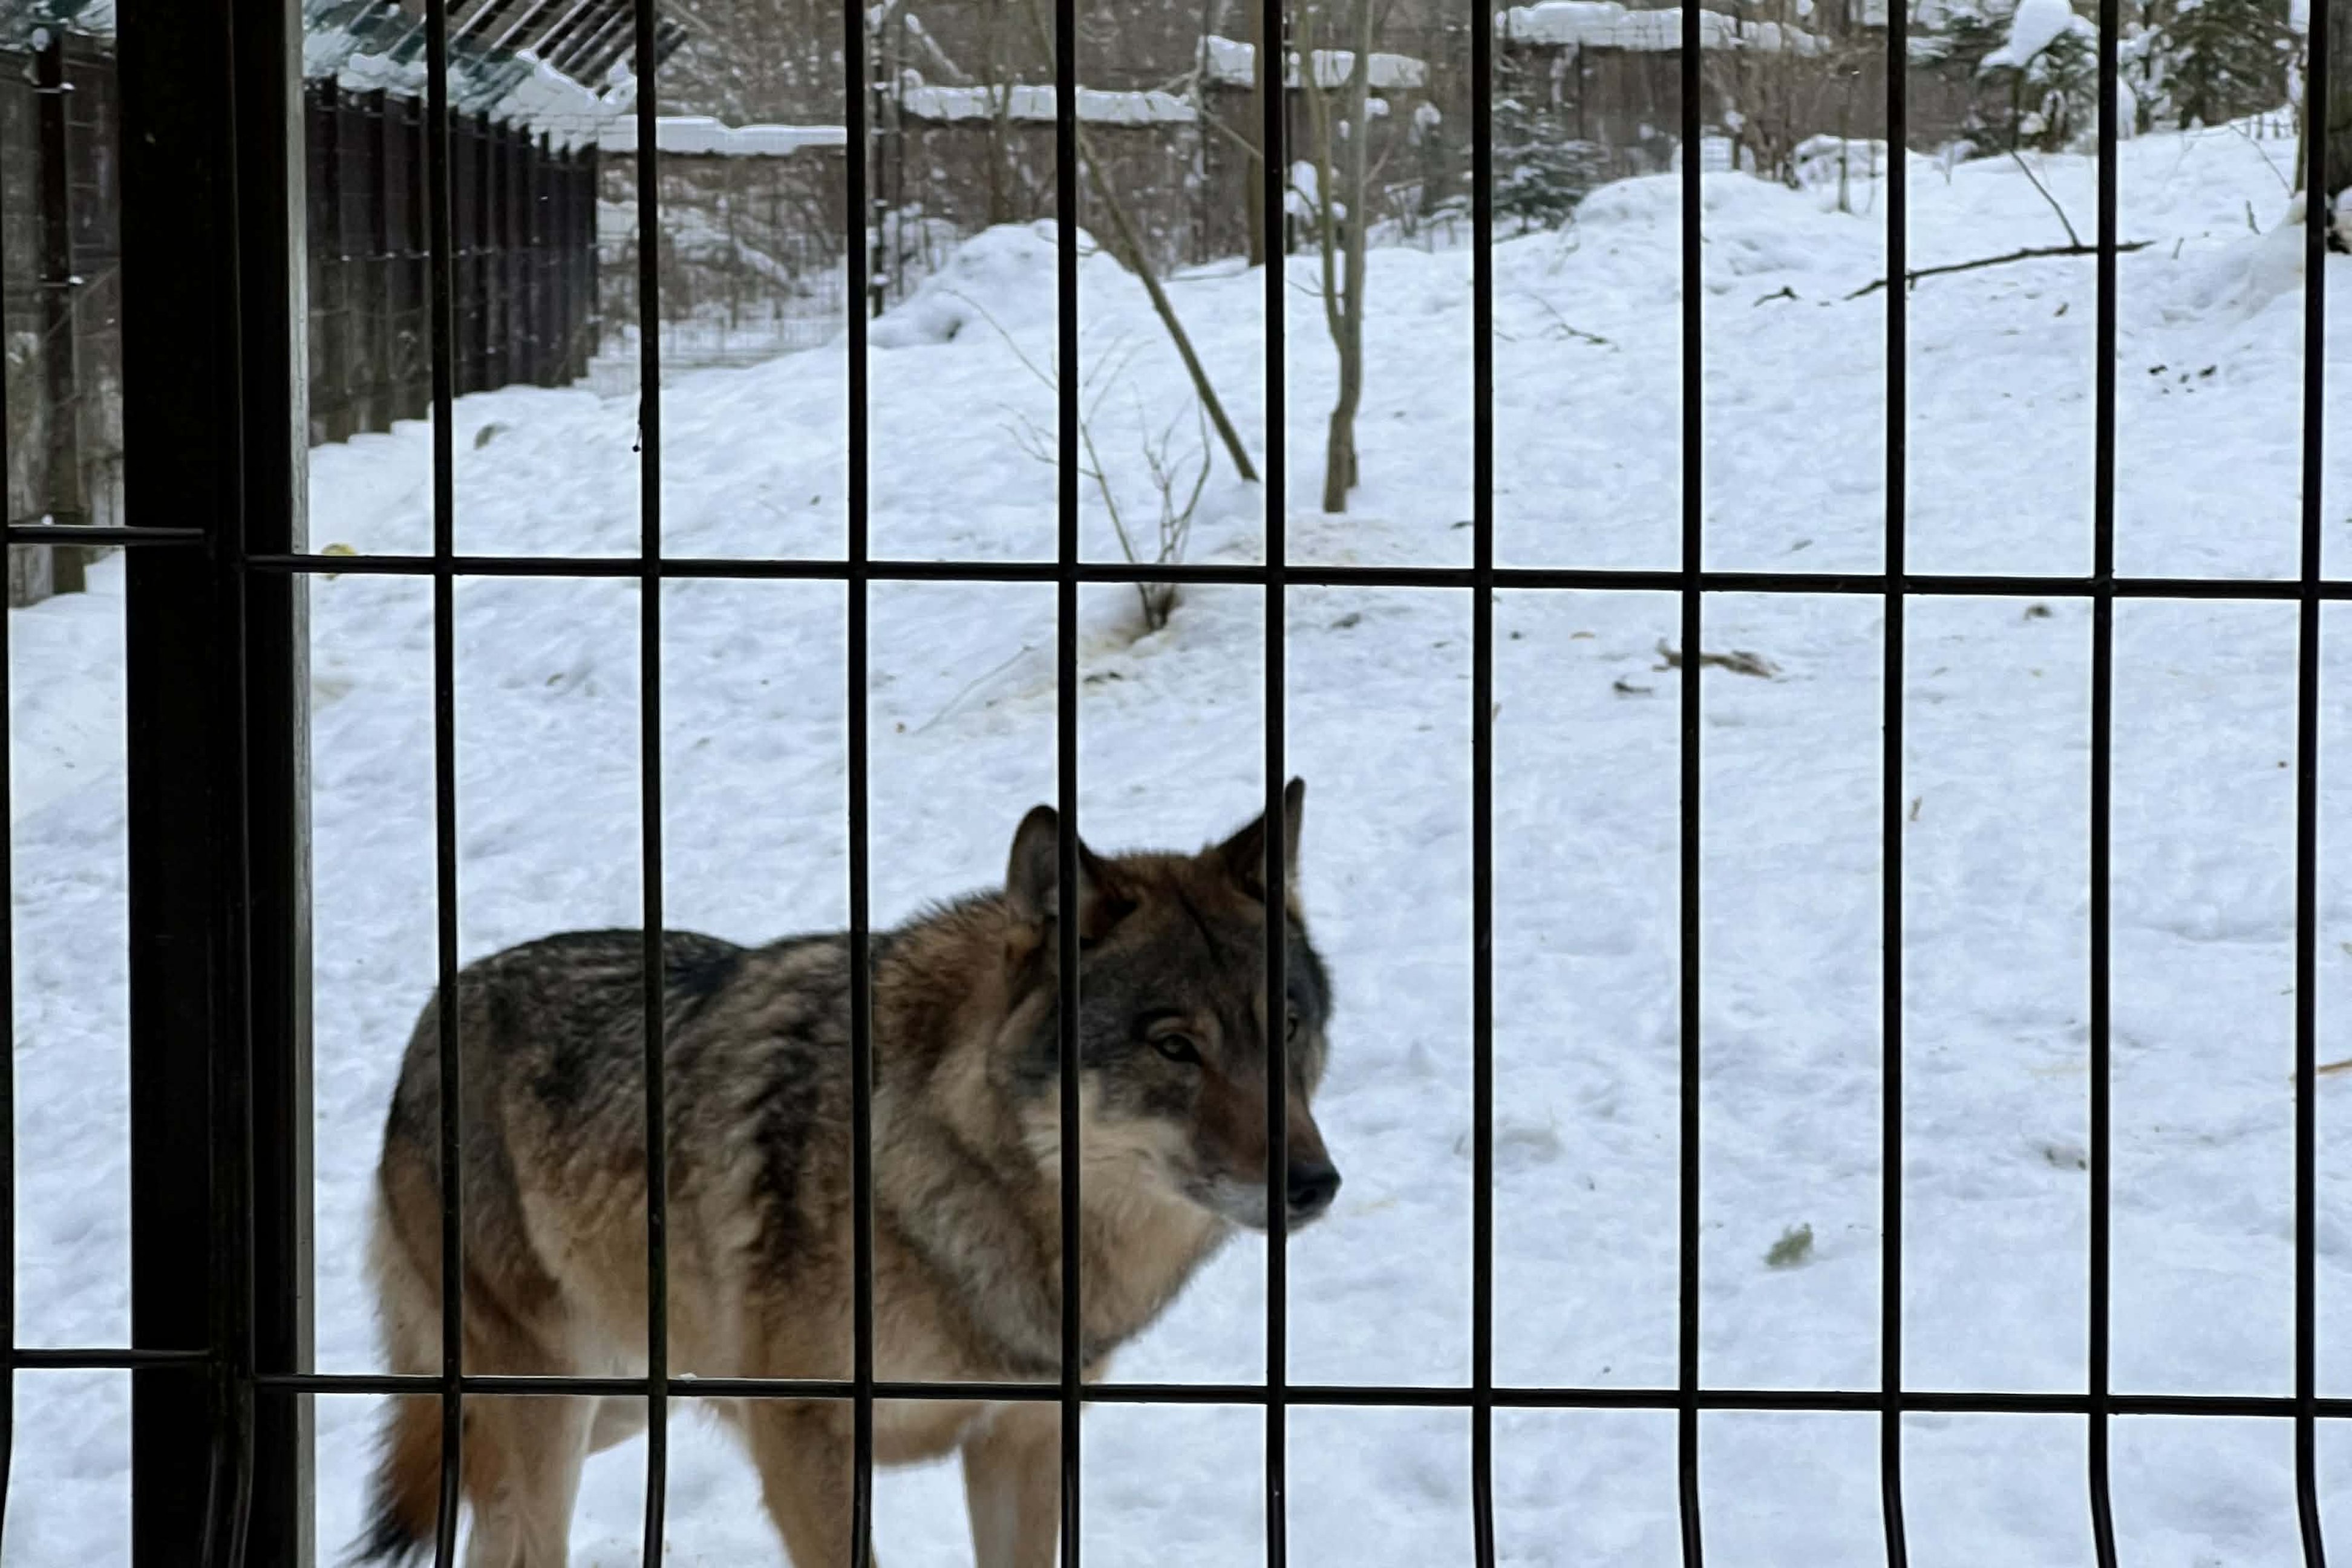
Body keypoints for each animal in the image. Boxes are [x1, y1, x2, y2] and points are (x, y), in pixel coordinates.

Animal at [357, 779, 1340, 1567]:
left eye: (1286, 1027)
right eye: (1175, 1047)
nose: (1315, 1184)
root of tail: (428, 1023)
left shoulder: (1023, 1441)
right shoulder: (805, 1443)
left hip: (624, 1405)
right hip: (557, 1406)